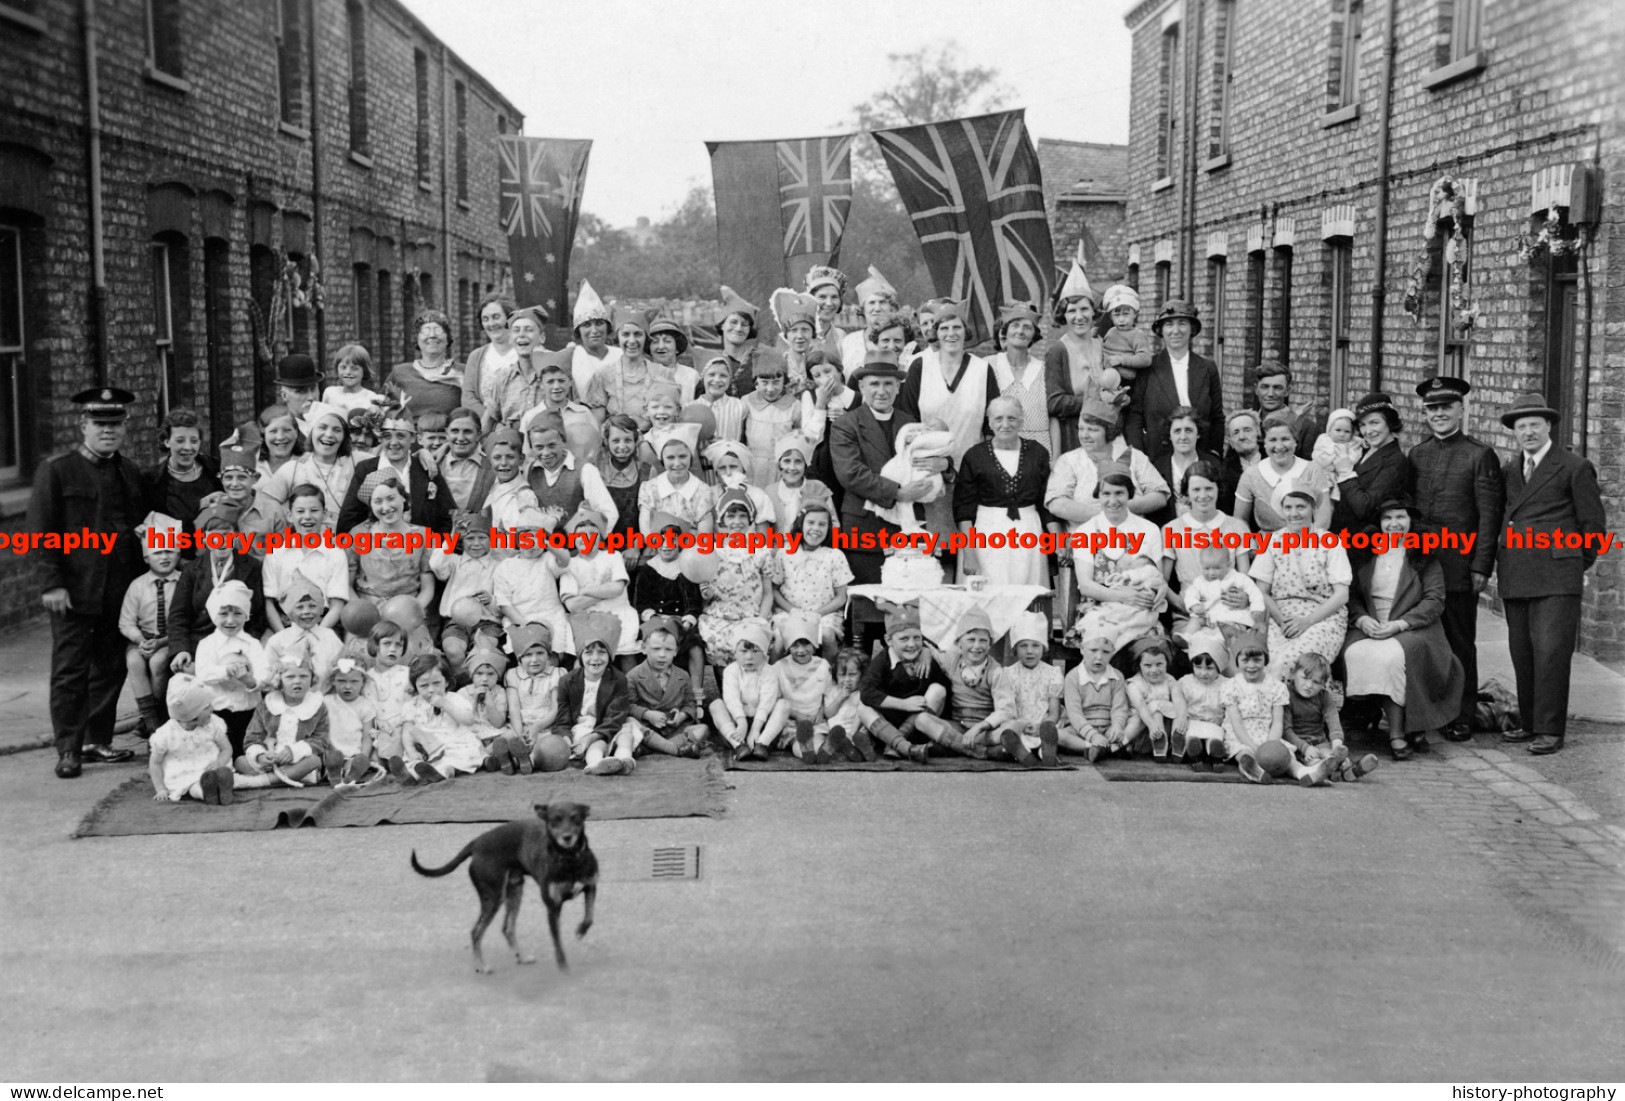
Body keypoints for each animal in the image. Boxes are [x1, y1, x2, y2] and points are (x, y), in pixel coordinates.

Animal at [409, 802, 601, 974]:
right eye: (554, 820)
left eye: (576, 818)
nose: (567, 837)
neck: (570, 860)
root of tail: (476, 843)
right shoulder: (552, 906)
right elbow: (558, 944)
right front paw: (564, 969)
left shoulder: (591, 887)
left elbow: (590, 917)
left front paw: (580, 931)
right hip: (494, 897)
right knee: (476, 932)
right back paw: (481, 966)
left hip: (515, 890)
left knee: (507, 928)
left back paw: (521, 957)